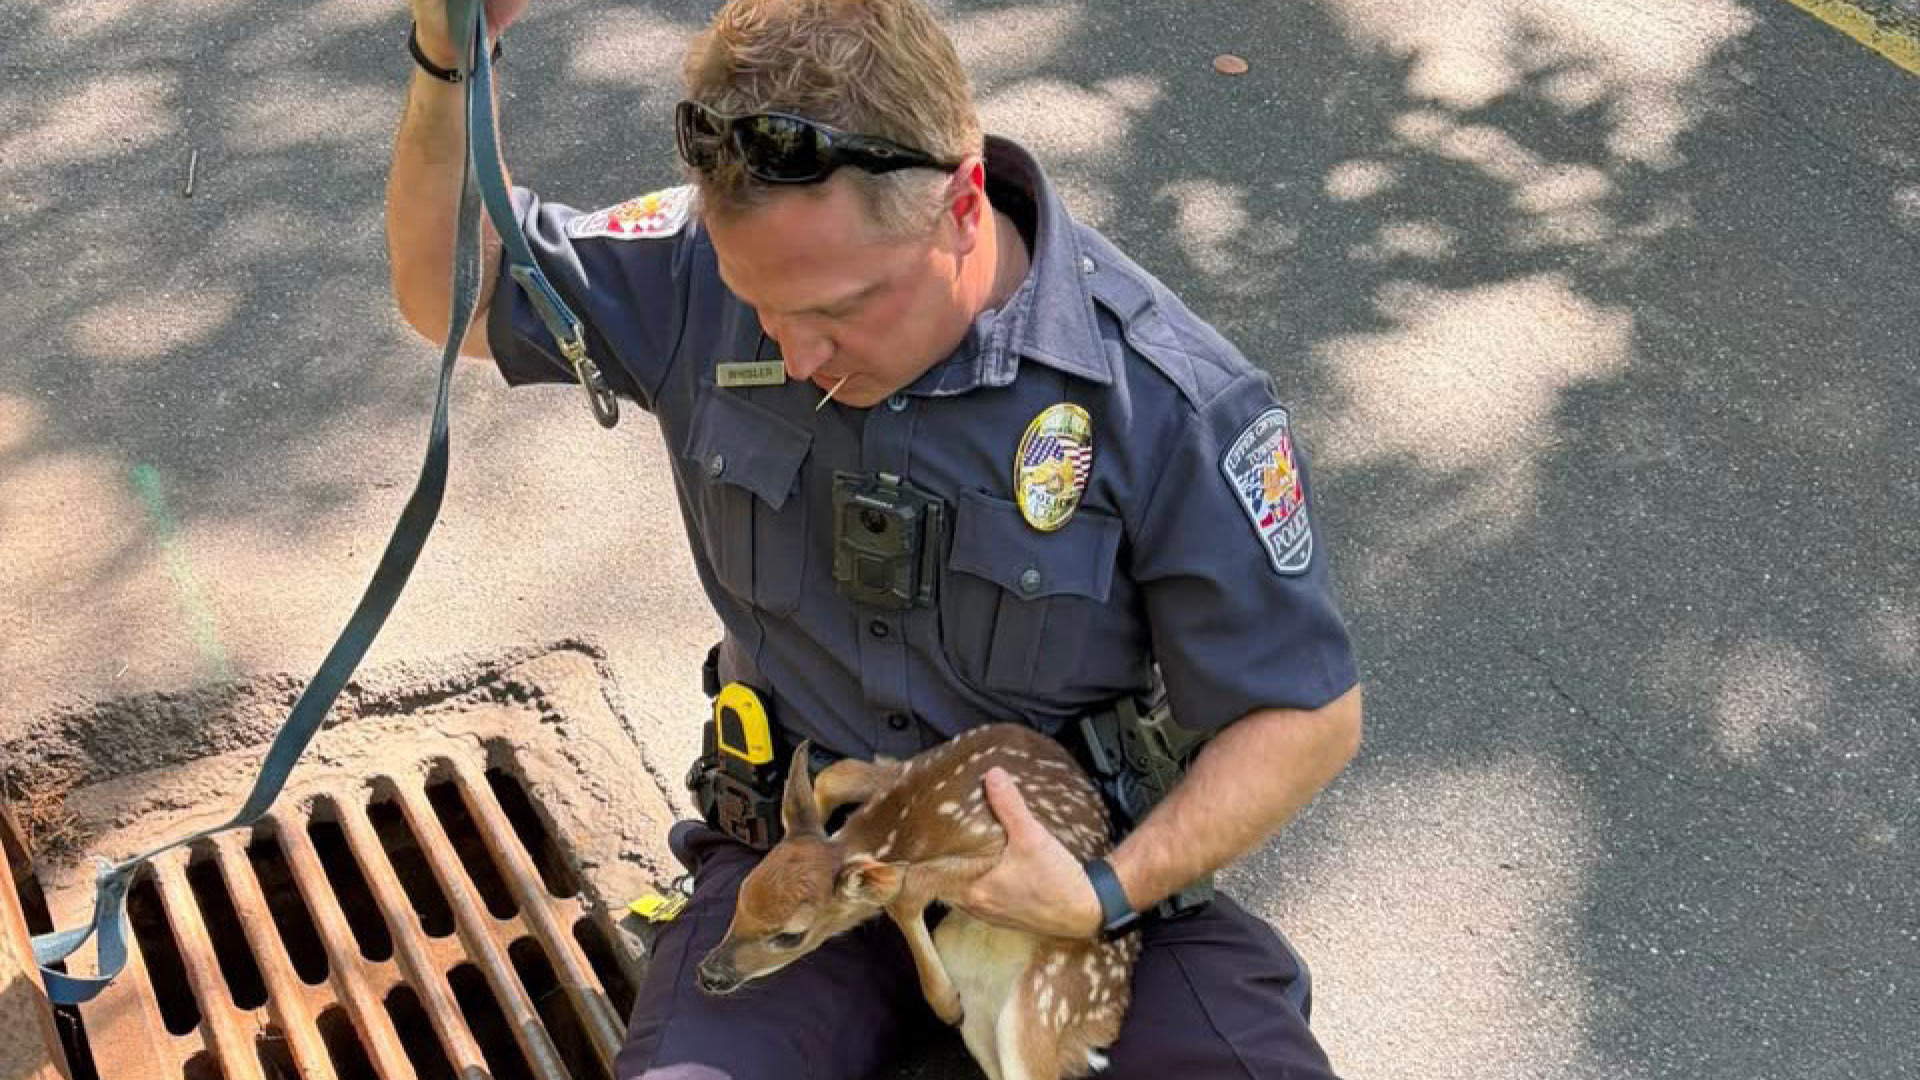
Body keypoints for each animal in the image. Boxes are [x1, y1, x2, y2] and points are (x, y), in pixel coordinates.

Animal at [695, 723, 1141, 1080]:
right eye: (742, 894)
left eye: (791, 936)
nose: (708, 975)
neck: (905, 824)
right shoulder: (895, 769)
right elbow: (836, 775)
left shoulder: (1008, 849)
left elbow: (905, 889)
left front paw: (945, 1005)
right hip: (978, 990)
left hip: (1052, 997)